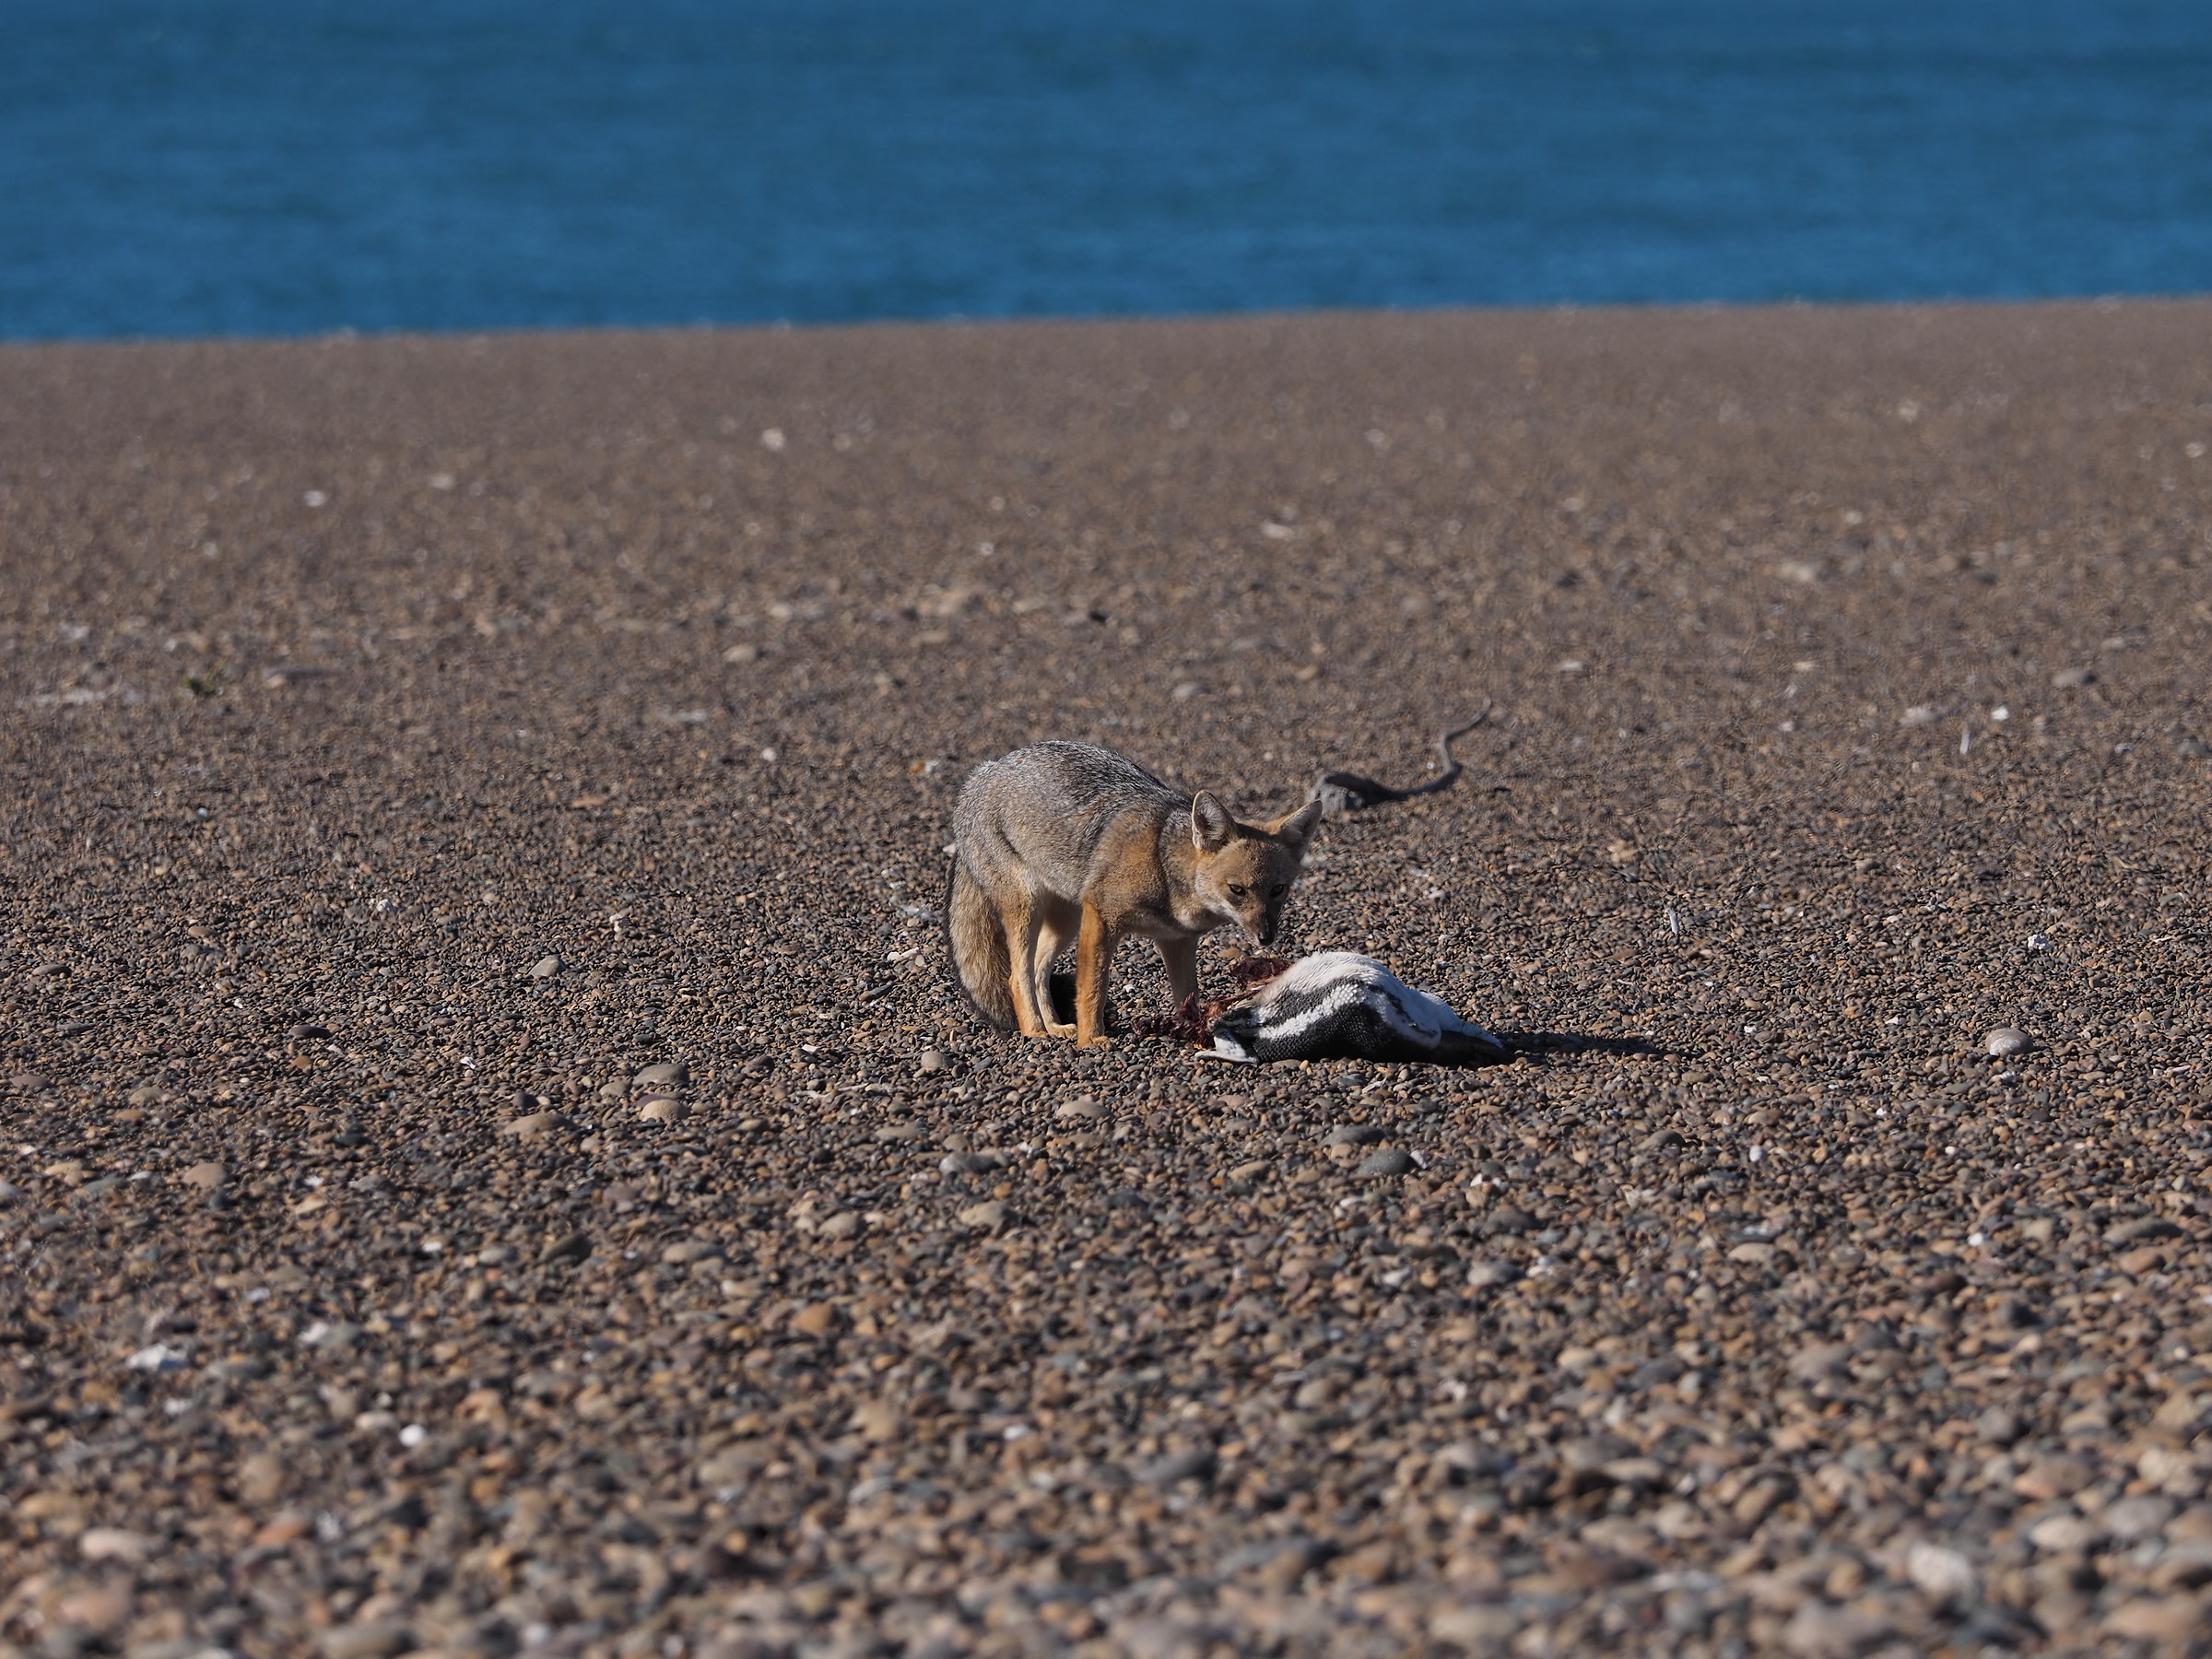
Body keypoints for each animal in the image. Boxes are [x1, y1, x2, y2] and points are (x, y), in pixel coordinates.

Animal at [947, 742, 1324, 1048]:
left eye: (1278, 890)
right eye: (1237, 890)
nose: (1266, 938)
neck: (1165, 867)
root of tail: (984, 772)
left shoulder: (1177, 940)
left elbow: (1188, 995)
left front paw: (1196, 1034)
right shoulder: (1101, 916)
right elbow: (1093, 988)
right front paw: (1092, 1040)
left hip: (1066, 919)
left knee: (1039, 970)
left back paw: (1054, 1027)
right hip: (1029, 909)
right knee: (1016, 976)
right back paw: (1035, 1032)